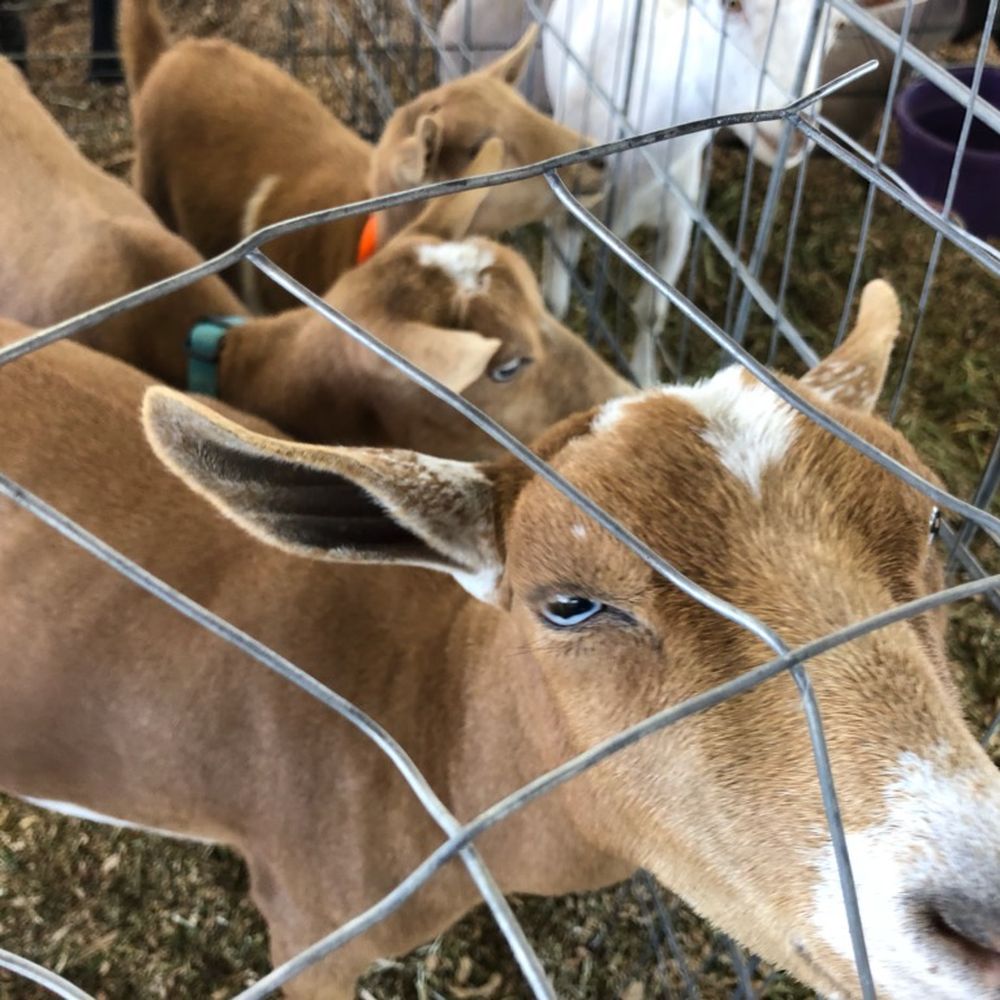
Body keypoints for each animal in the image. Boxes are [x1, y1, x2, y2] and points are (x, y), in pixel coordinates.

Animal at [541, 0, 843, 385]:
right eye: (731, 5)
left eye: (837, 26)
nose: (794, 135)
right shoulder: (562, 206)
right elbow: (554, 302)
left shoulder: (678, 221)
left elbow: (652, 312)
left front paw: (645, 377)